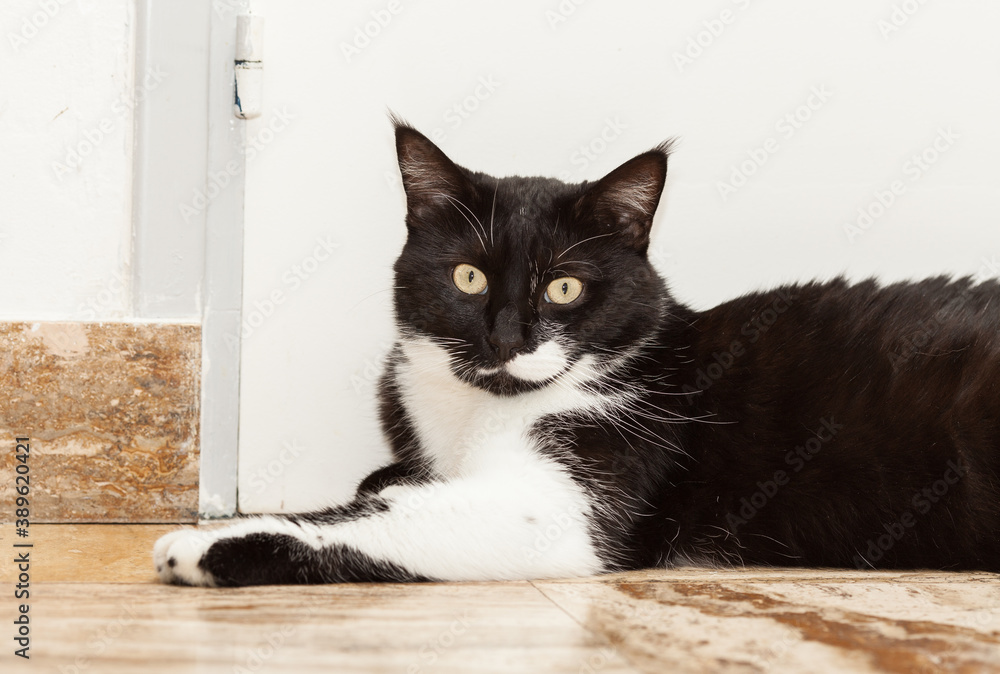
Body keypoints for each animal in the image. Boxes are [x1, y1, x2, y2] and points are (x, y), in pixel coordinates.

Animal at [156, 121, 1000, 584]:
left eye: (564, 288)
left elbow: (385, 522)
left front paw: (208, 542)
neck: (476, 414)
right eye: (467, 276)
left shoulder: (572, 498)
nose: (505, 336)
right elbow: (386, 488)